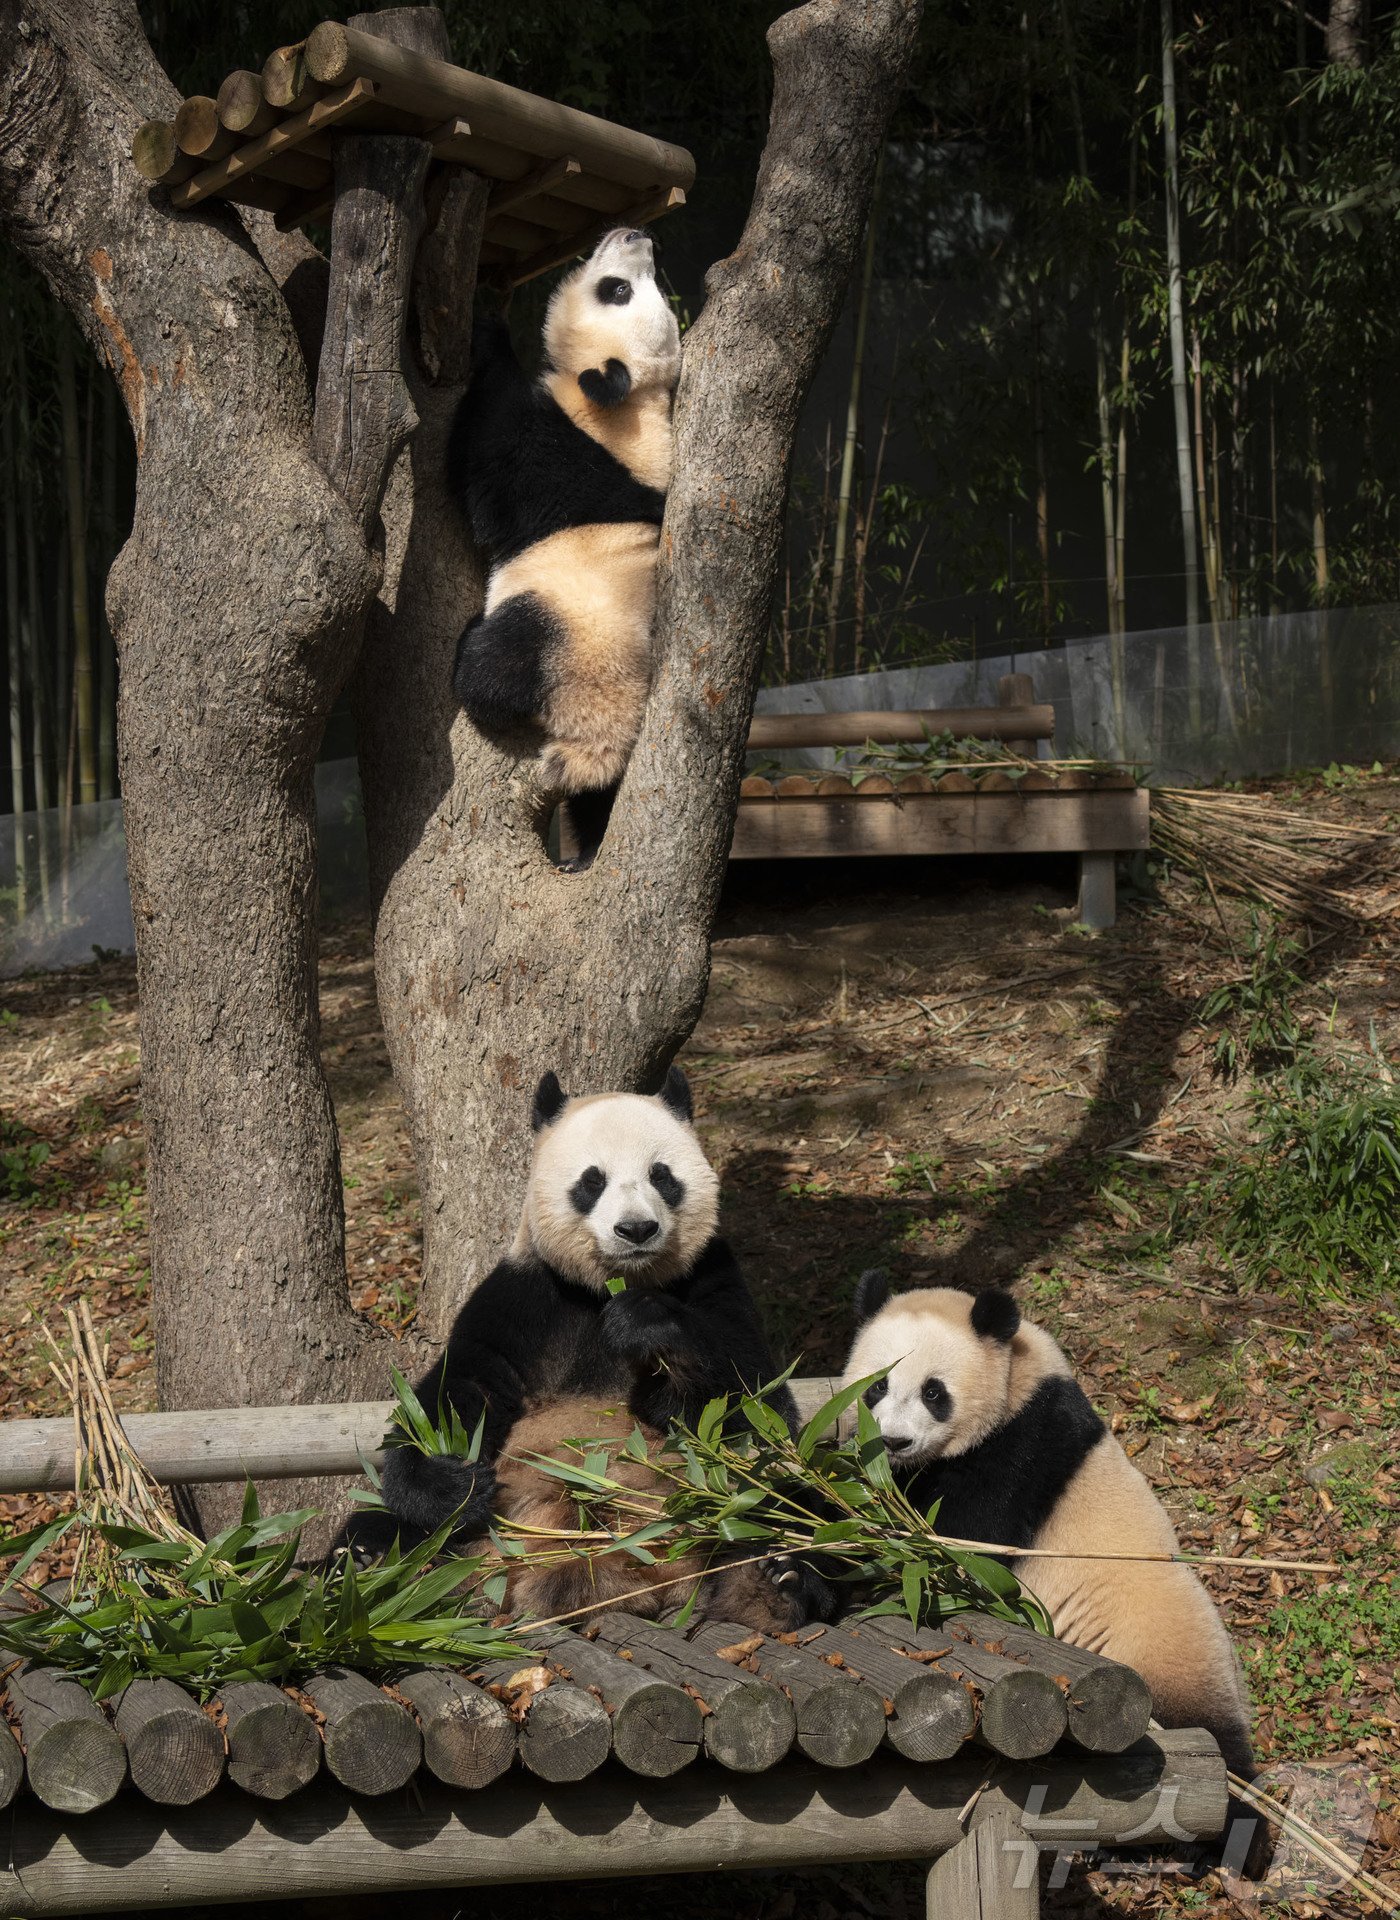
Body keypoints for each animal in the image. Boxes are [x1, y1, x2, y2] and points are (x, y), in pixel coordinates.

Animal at [349, 1067, 829, 1635]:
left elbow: (753, 1403)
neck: (608, 1285)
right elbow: (458, 1390)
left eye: (662, 1175)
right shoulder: (525, 1295)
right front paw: (451, 1484)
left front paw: (645, 1327)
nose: (636, 1229)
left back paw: (776, 1582)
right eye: (592, 1180)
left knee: (790, 1499)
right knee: (383, 1527)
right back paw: (376, 1568)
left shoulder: (713, 1279)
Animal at [447, 222, 675, 871]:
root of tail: (597, 740)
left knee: (495, 672)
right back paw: (588, 849)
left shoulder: (569, 454)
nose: (636, 232)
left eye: (616, 290)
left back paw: (470, 648)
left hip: (563, 636)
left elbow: (490, 482)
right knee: (597, 802)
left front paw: (488, 326)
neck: (633, 402)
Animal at [841, 1267, 1259, 1774]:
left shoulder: (1017, 1448)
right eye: (877, 1386)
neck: (1016, 1376)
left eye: (933, 1391)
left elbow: (963, 1544)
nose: (895, 1442)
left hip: (1160, 1657)